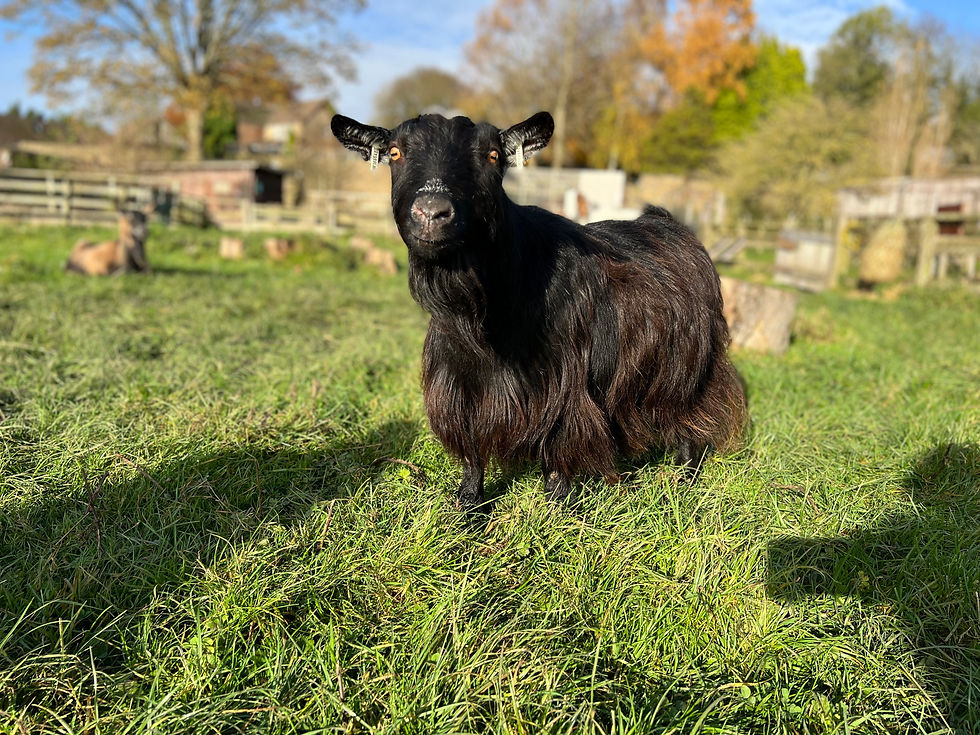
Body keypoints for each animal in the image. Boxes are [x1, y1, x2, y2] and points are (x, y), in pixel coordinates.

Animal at [331, 111, 746, 507]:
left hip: (690, 363)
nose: (432, 213)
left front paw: (555, 509)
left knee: (690, 417)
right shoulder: (459, 387)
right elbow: (471, 452)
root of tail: (669, 223)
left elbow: (559, 445)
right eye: (395, 153)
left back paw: (683, 479)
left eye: (492, 155)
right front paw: (468, 507)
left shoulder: (564, 384)